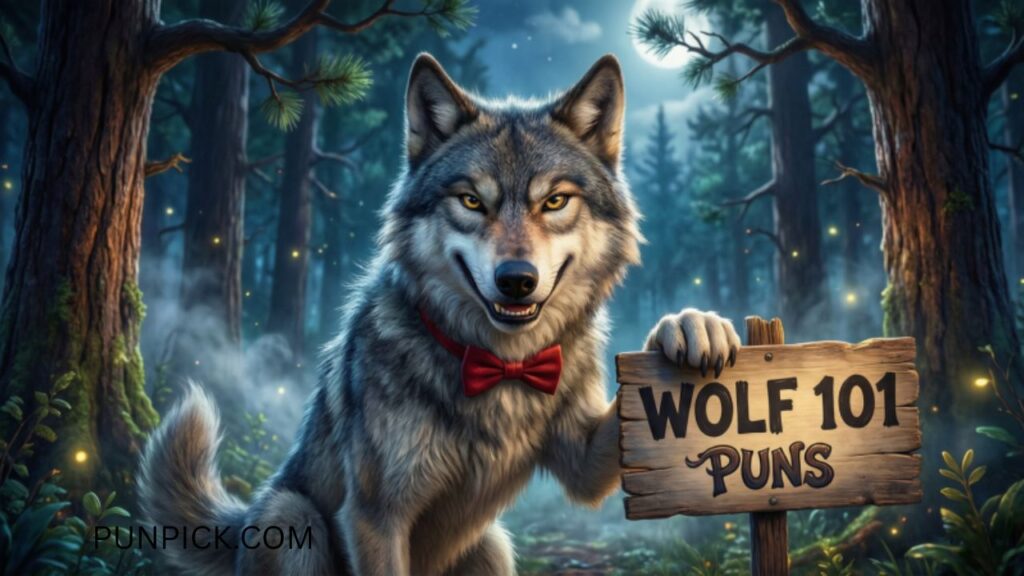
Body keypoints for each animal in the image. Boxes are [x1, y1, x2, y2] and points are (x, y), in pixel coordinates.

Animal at [138, 53, 741, 575]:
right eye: (472, 201)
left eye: (554, 201)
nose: (516, 279)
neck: (500, 365)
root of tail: (241, 523)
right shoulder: (375, 517)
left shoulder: (582, 463)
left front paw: (691, 327)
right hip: (292, 517)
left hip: (492, 546)